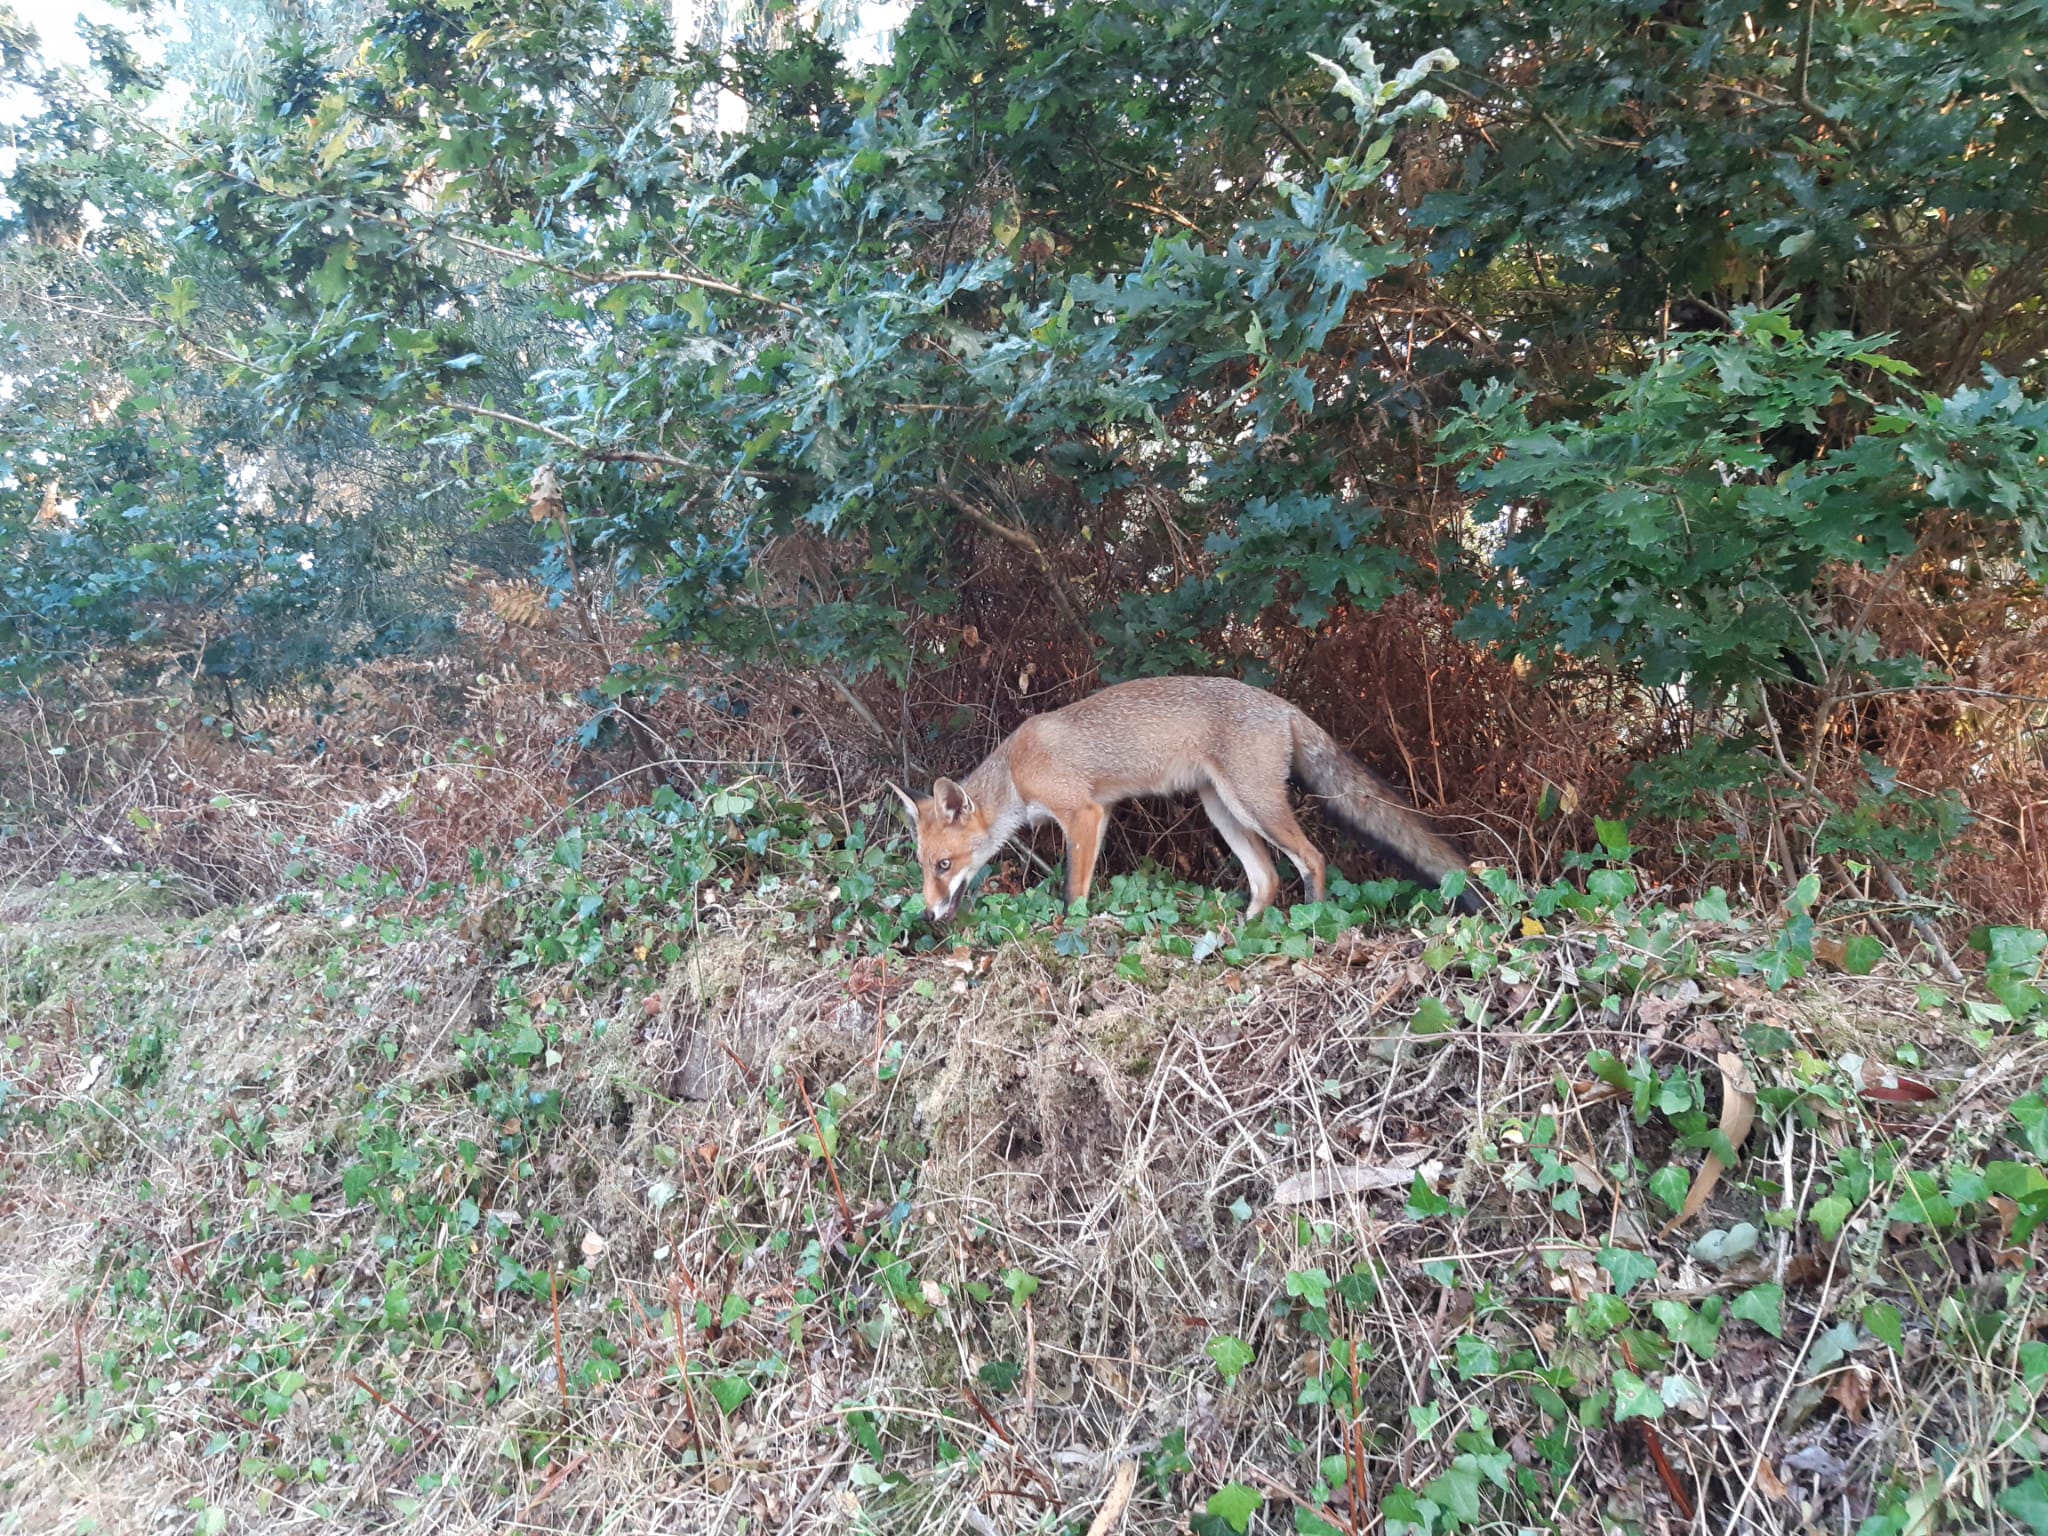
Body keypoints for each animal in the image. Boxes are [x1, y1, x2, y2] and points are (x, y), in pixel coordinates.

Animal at [890, 676, 1482, 923]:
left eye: (944, 865)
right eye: (924, 866)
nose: (929, 915)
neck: (1015, 771)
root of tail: (1282, 704)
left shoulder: (1084, 813)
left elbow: (1072, 891)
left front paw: (1072, 929)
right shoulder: (1097, 813)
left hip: (1254, 804)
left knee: (1312, 859)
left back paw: (1312, 923)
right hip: (1222, 809)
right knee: (1266, 878)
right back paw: (1244, 931)